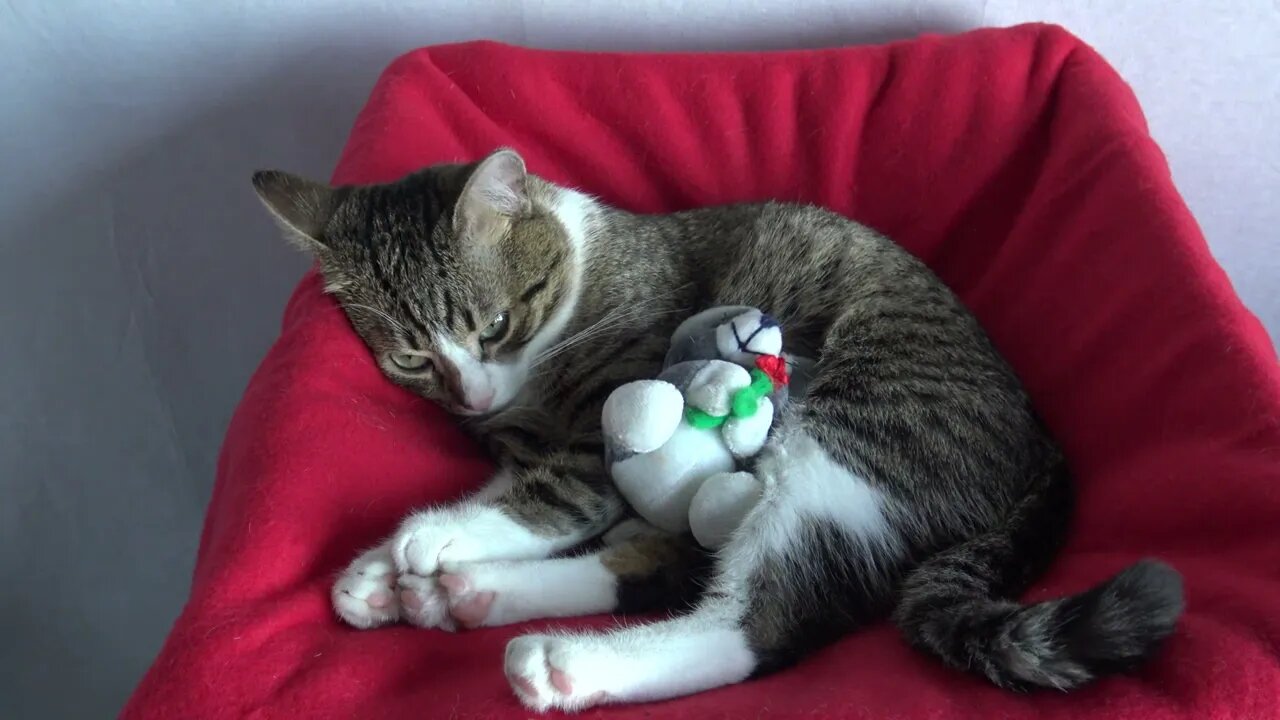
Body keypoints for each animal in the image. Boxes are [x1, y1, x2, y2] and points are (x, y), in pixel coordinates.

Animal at [254, 148, 1182, 707]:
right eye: (411, 359)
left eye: (495, 327)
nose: (474, 395)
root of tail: (1043, 444)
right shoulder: (513, 435)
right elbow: (524, 488)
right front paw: (383, 565)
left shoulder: (603, 415)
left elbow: (550, 497)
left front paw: (434, 538)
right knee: (666, 559)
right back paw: (463, 596)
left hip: (859, 431)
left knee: (752, 624)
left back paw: (562, 658)